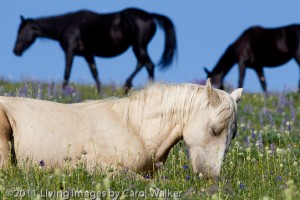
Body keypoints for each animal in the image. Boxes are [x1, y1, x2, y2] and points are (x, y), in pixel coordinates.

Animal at [13, 7, 178, 92]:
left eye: (20, 31)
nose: (15, 51)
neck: (66, 26)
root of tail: (150, 16)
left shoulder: (70, 50)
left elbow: (67, 72)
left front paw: (62, 92)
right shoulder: (88, 54)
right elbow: (95, 74)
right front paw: (100, 93)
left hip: (138, 45)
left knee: (149, 64)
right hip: (138, 47)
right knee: (142, 63)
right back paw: (127, 85)